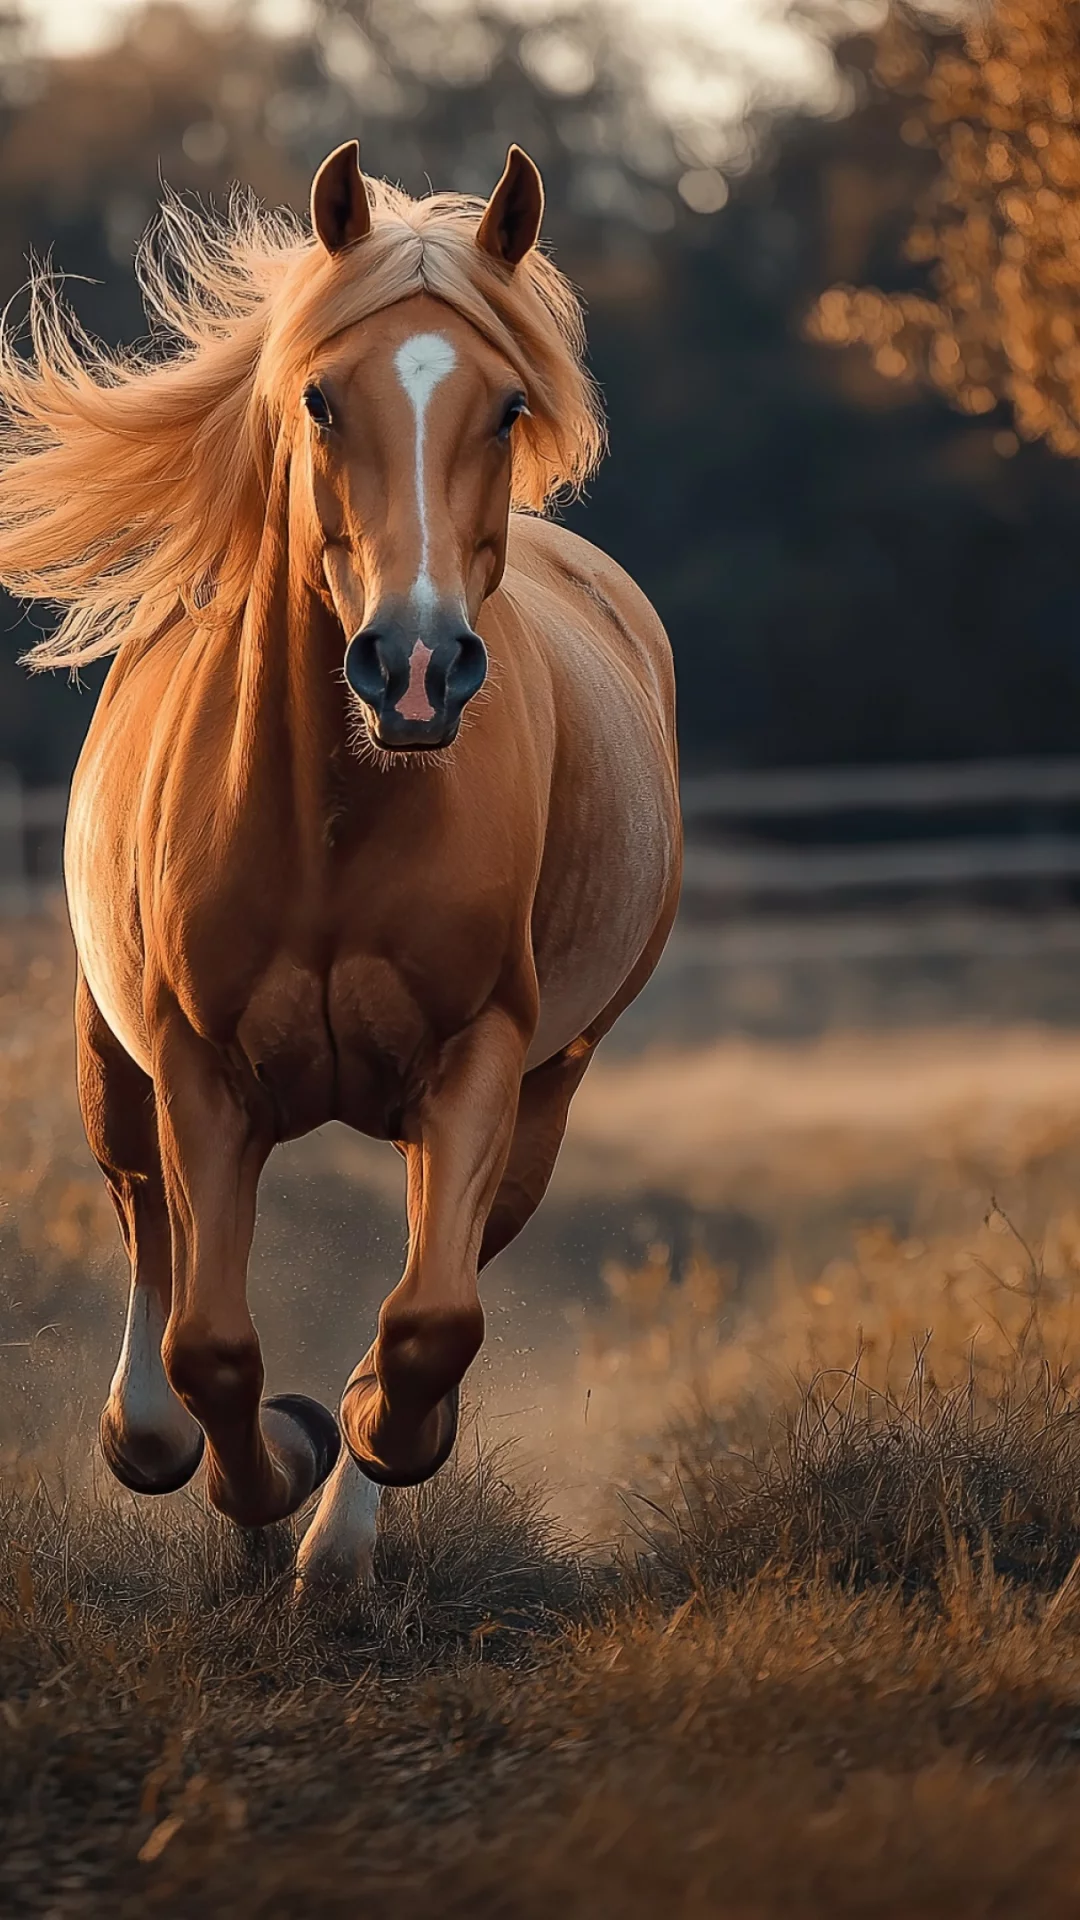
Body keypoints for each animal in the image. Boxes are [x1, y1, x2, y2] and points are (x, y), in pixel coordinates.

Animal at [0, 142, 681, 1588]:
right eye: (319, 397)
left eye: (507, 405)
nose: (416, 666)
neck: (331, 826)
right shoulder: (198, 1065)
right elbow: (207, 1345)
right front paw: (273, 1455)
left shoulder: (483, 1056)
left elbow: (428, 1326)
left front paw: (349, 1438)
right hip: (107, 1053)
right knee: (147, 1242)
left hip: (548, 1087)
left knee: (446, 1272)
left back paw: (335, 1539)